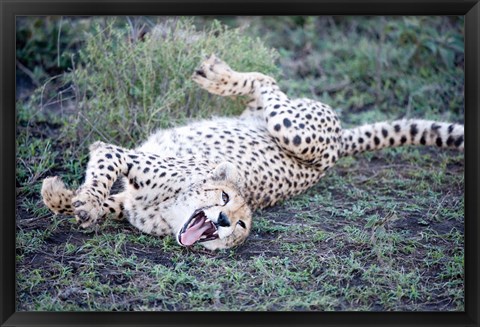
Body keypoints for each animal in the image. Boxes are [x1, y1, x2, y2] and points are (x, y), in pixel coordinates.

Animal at [42, 55, 464, 251]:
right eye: (224, 198)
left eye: (242, 226)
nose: (224, 220)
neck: (170, 209)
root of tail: (341, 142)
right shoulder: (120, 156)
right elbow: (101, 173)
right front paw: (72, 198)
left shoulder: (129, 195)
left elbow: (103, 200)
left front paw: (65, 198)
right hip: (291, 128)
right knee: (266, 80)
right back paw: (218, 74)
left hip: (297, 131)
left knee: (267, 84)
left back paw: (218, 75)